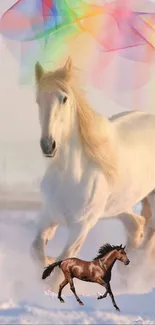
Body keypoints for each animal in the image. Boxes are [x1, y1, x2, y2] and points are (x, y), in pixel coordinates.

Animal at [31, 57, 155, 288]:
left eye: (64, 98)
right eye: (38, 100)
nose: (48, 145)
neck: (70, 176)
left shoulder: (81, 227)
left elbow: (63, 262)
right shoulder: (49, 215)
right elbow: (36, 250)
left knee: (148, 232)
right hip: (118, 205)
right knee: (137, 226)